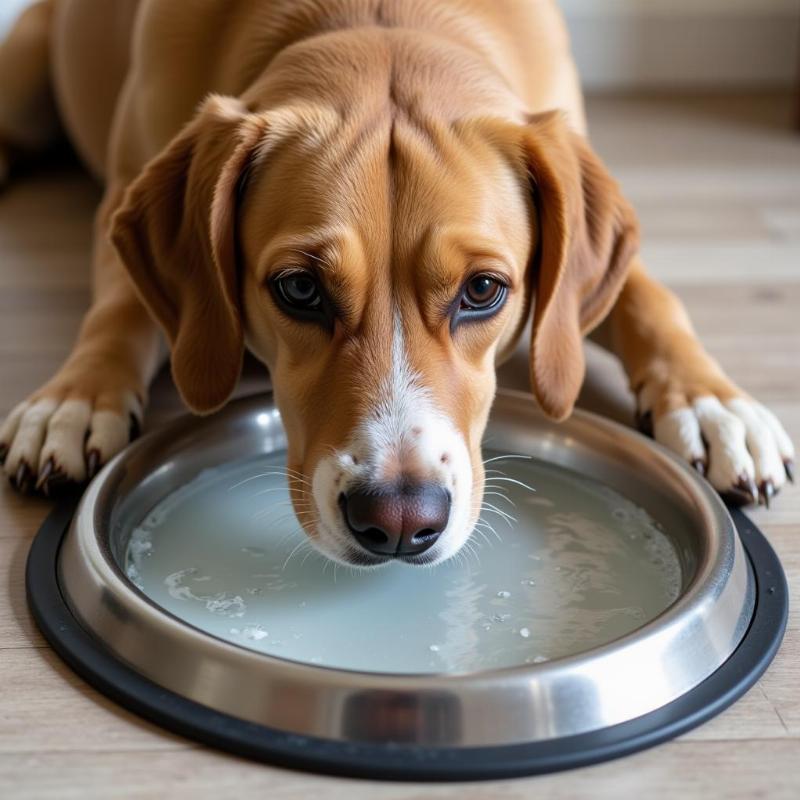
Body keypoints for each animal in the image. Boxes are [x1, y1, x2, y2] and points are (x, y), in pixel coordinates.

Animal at [0, 0, 792, 564]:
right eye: (299, 289)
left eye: (483, 291)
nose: (401, 519)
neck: (376, 14)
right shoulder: (121, 195)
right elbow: (118, 310)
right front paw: (73, 400)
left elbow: (649, 297)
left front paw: (714, 403)